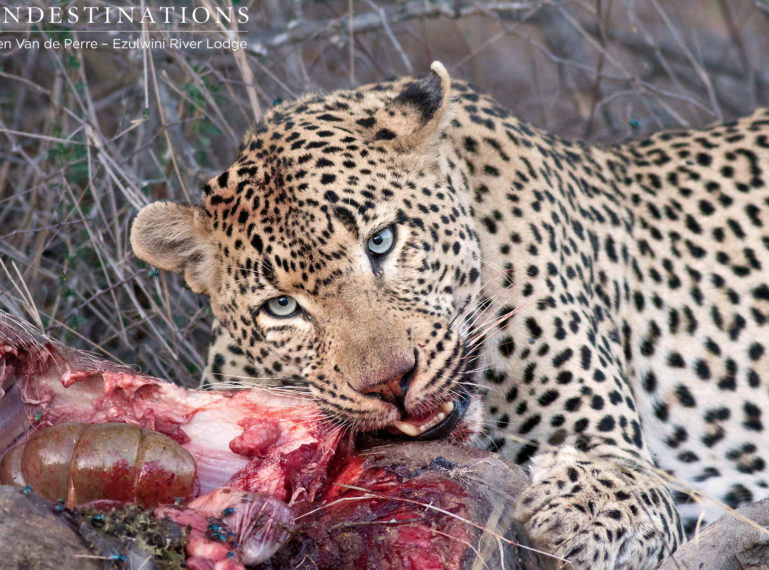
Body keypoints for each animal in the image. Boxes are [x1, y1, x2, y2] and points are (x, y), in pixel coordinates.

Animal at [129, 60, 768, 564]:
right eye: (282, 306)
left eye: (382, 241)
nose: (391, 383)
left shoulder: (628, 464)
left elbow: (611, 496)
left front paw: (566, 514)